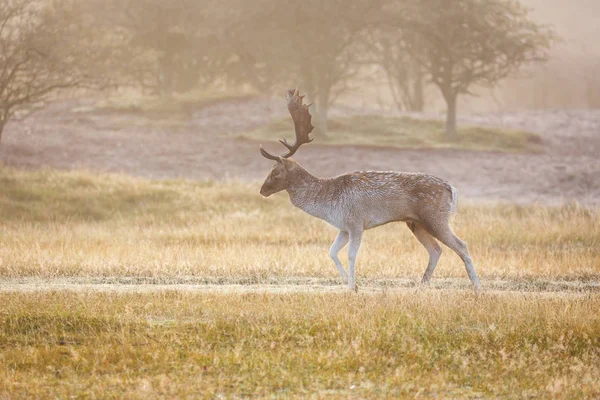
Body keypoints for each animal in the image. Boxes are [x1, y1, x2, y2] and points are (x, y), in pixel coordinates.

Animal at [258, 89, 482, 292]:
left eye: (276, 172)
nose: (262, 190)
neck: (326, 203)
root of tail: (452, 188)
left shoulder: (356, 222)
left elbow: (351, 254)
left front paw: (352, 286)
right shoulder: (343, 227)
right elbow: (331, 251)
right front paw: (349, 282)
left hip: (435, 217)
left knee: (461, 245)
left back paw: (477, 287)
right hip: (415, 223)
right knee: (436, 250)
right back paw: (420, 287)